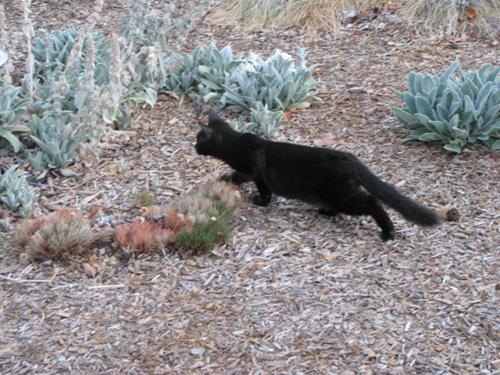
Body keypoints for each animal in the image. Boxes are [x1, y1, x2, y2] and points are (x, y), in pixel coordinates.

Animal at [196, 111, 458, 241]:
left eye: (199, 140)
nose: (193, 147)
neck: (237, 144)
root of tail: (348, 158)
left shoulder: (256, 170)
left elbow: (258, 186)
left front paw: (256, 199)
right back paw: (324, 211)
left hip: (341, 194)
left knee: (372, 202)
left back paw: (387, 232)